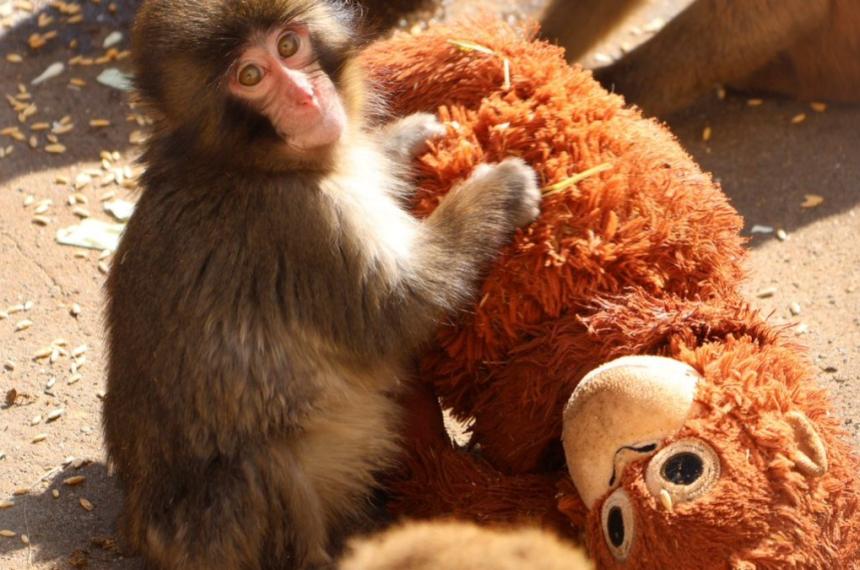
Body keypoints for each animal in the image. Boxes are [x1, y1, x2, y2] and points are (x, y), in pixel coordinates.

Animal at [102, 0, 541, 568]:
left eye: (289, 46)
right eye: (250, 76)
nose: (306, 97)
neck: (244, 164)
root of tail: (136, 527)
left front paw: (404, 137)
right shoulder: (303, 223)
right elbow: (399, 308)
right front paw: (499, 191)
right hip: (213, 534)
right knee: (261, 467)